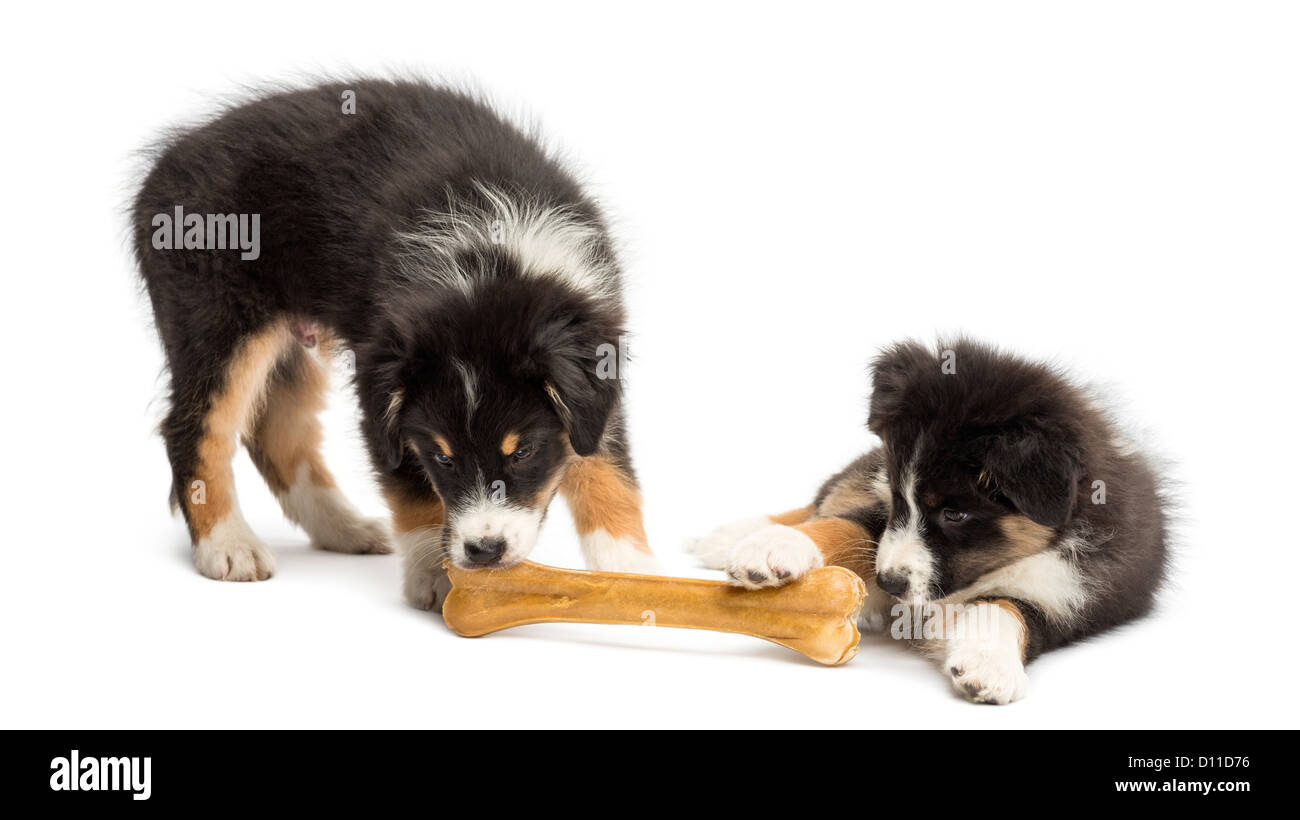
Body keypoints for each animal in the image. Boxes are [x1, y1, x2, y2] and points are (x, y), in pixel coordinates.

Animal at [134, 76, 660, 605]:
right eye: (442, 457)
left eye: (523, 452)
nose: (484, 551)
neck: (489, 264)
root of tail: (163, 166)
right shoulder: (384, 400)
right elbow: (412, 491)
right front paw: (435, 578)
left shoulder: (596, 369)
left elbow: (609, 471)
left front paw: (630, 576)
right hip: (217, 322)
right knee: (195, 428)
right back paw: (228, 545)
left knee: (279, 431)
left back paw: (343, 530)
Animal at [691, 340, 1170, 706]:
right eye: (900, 496)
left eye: (955, 514)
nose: (889, 584)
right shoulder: (883, 505)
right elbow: (845, 527)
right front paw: (771, 548)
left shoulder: (1076, 594)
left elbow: (1005, 608)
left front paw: (987, 666)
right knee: (823, 499)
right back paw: (733, 535)